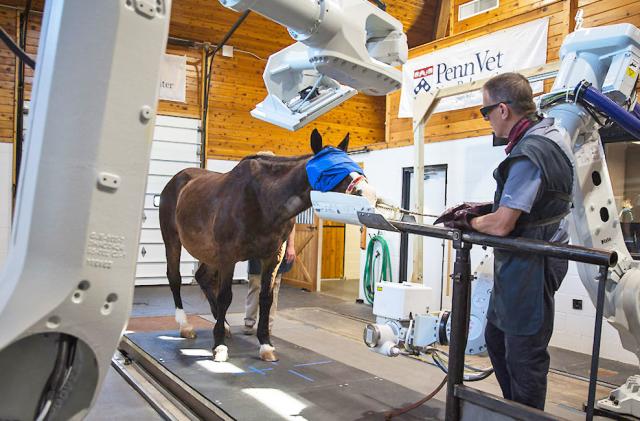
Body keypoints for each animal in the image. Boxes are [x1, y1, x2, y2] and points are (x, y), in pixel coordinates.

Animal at [158, 129, 376, 360]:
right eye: (330, 170)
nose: (368, 194)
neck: (261, 199)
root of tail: (177, 180)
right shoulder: (228, 256)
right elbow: (225, 296)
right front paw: (219, 346)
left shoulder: (273, 257)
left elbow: (266, 298)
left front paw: (266, 344)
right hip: (173, 241)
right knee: (175, 278)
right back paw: (185, 325)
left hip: (209, 253)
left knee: (202, 278)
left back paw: (223, 325)